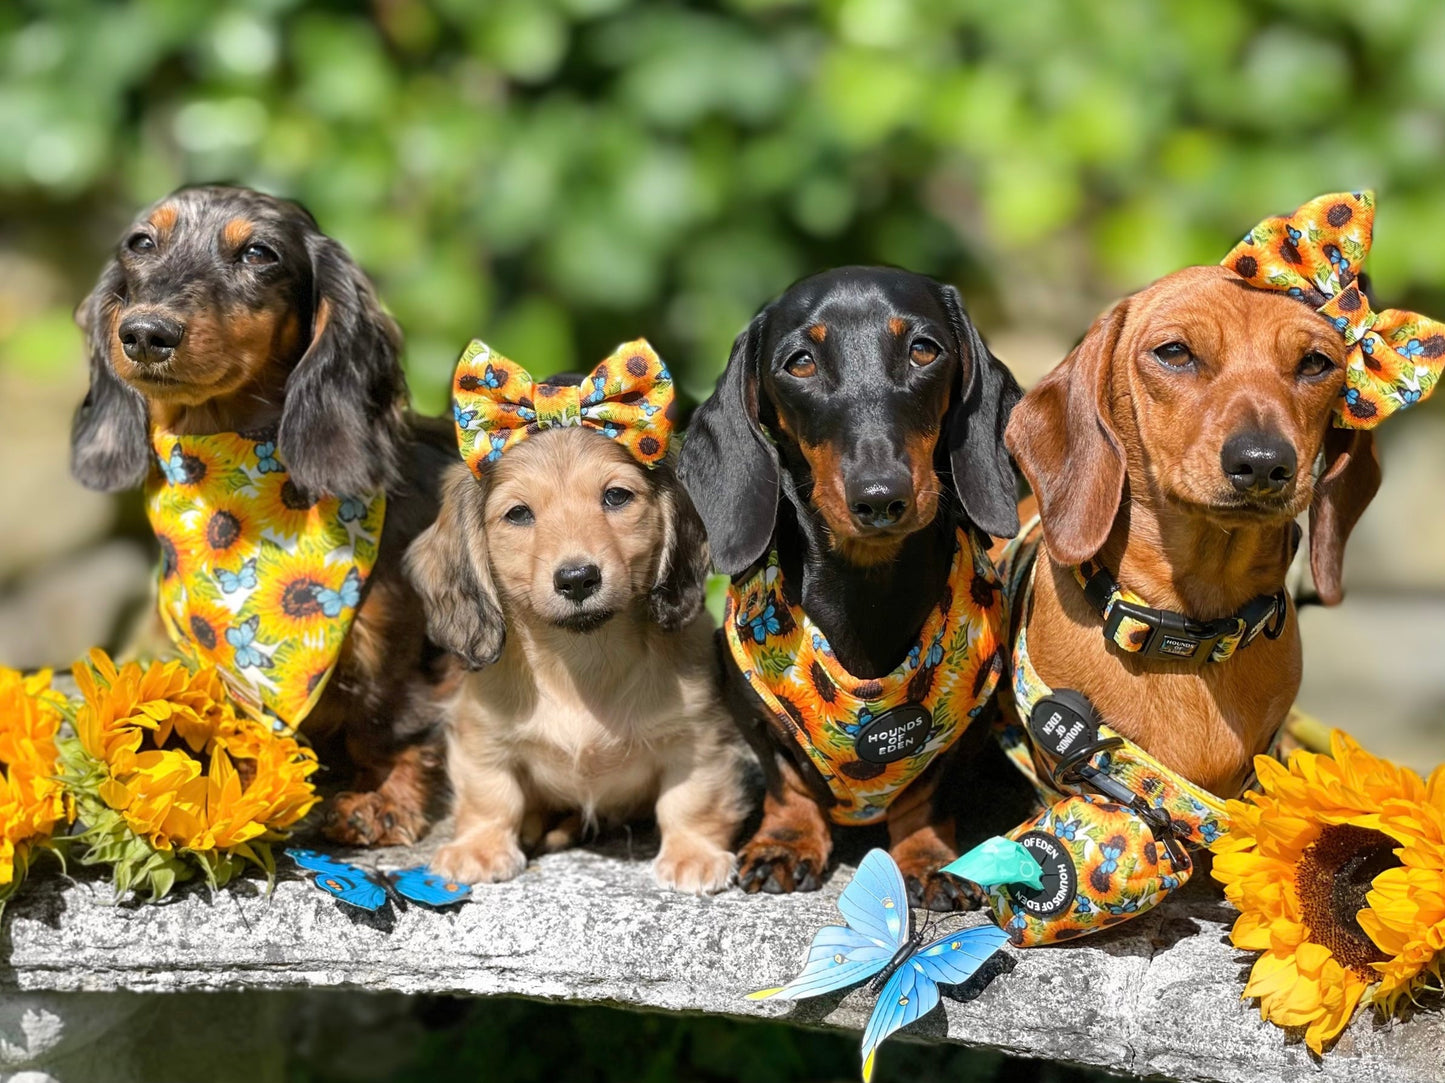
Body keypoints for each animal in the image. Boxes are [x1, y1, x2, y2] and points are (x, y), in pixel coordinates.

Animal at [407, 427, 745, 890]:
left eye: (616, 496)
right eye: (518, 513)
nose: (577, 579)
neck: (581, 661)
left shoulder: (698, 737)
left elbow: (692, 800)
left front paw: (694, 854)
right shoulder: (482, 735)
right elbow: (490, 795)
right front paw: (479, 847)